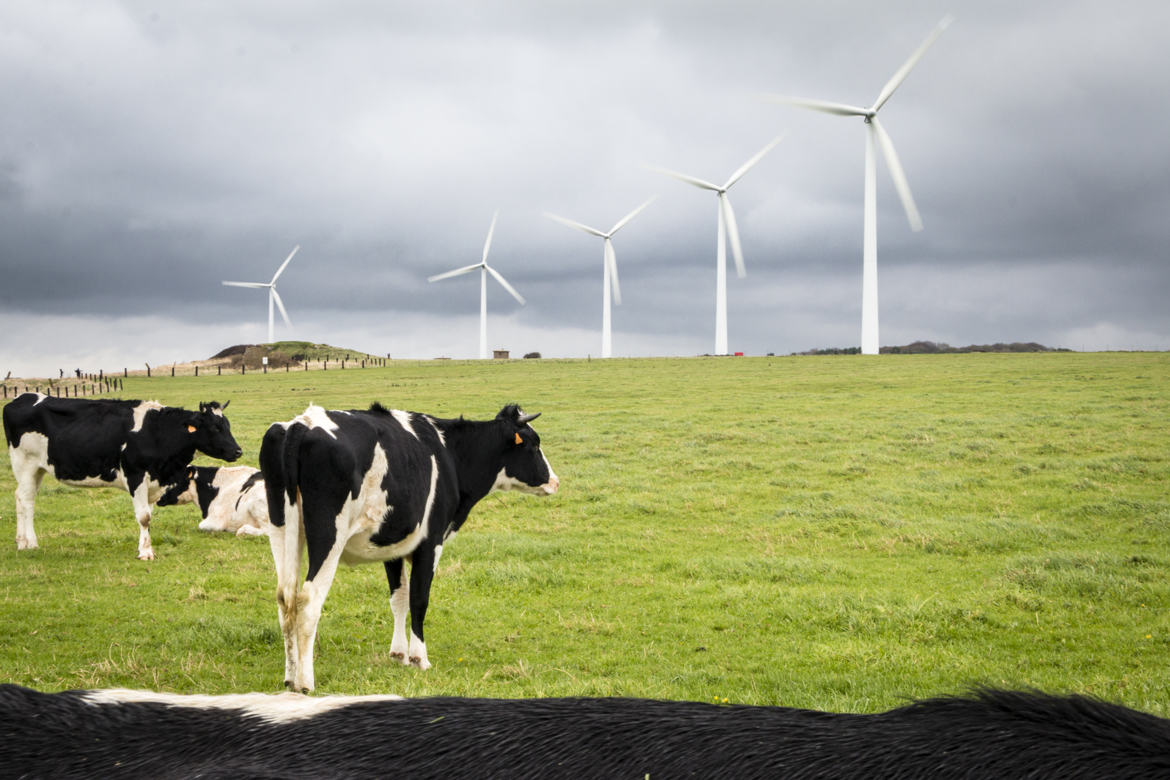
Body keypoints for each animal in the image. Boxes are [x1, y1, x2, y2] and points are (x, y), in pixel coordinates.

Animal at [2, 397, 243, 561]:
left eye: (228, 425)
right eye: (215, 427)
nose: (238, 451)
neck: (156, 433)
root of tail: (22, 398)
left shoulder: (153, 482)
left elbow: (148, 515)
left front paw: (143, 546)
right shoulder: (135, 475)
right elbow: (144, 517)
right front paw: (146, 552)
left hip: (38, 469)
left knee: (20, 497)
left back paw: (21, 541)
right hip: (25, 463)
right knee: (26, 500)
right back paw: (30, 543)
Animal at [262, 406, 561, 692]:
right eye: (534, 444)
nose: (555, 481)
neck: (450, 454)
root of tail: (302, 423)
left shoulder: (391, 545)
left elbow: (399, 598)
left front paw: (398, 654)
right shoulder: (430, 543)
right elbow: (419, 599)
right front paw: (419, 658)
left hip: (282, 531)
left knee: (285, 599)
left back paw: (290, 678)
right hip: (328, 536)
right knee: (308, 601)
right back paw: (305, 682)